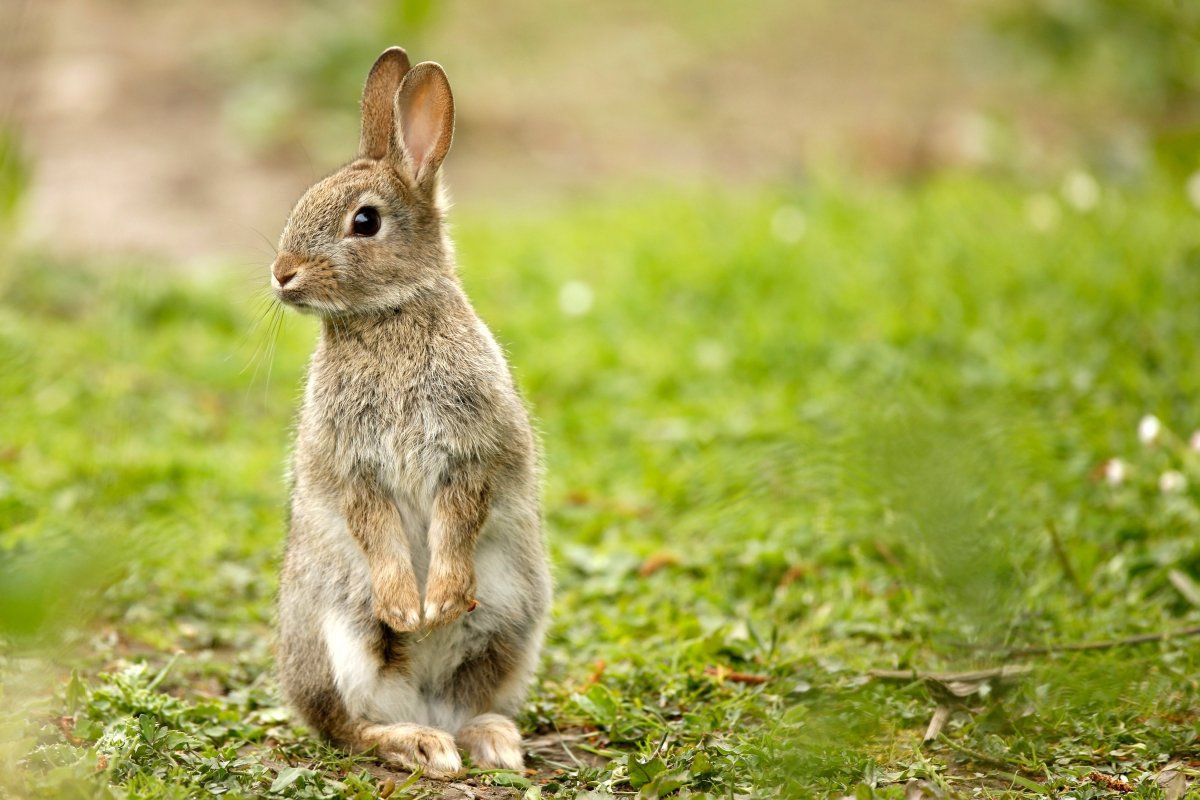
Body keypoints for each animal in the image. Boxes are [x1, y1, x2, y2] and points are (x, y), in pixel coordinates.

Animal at [270, 46, 552, 778]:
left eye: (365, 221)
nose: (282, 273)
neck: (387, 315)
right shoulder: (355, 467)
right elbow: (374, 526)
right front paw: (407, 607)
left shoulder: (471, 452)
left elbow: (460, 515)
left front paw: (440, 600)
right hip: (340, 638)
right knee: (352, 729)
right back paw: (419, 742)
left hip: (510, 625)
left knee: (467, 702)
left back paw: (488, 742)